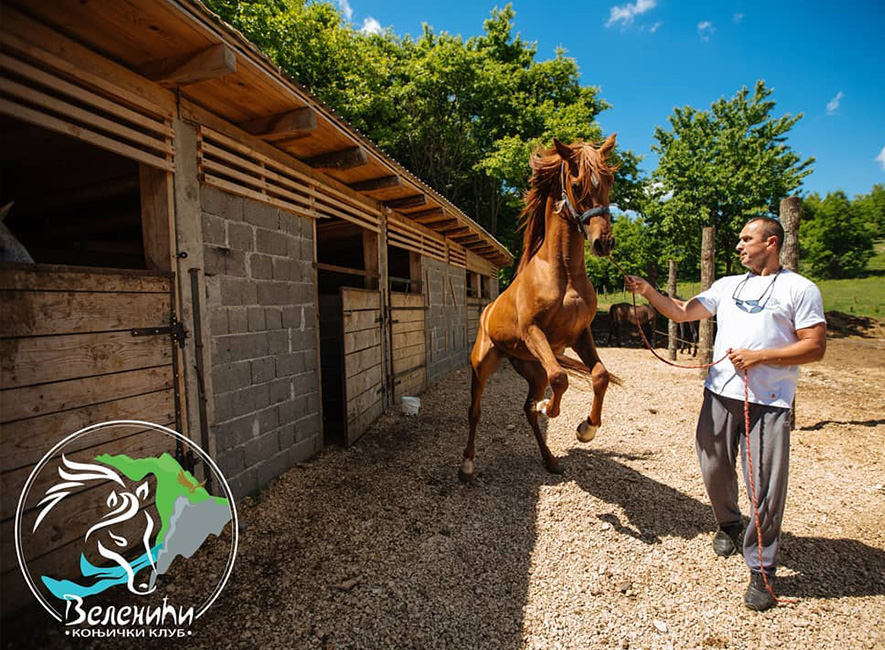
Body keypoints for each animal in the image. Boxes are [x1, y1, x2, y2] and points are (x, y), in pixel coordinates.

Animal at [459, 136, 619, 482]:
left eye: (609, 181)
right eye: (576, 184)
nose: (604, 243)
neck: (564, 274)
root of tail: (487, 311)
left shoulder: (580, 334)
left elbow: (600, 375)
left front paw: (587, 428)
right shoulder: (534, 332)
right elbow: (561, 377)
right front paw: (550, 408)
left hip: (532, 370)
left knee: (527, 410)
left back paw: (550, 460)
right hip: (483, 364)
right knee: (474, 411)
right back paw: (466, 465)